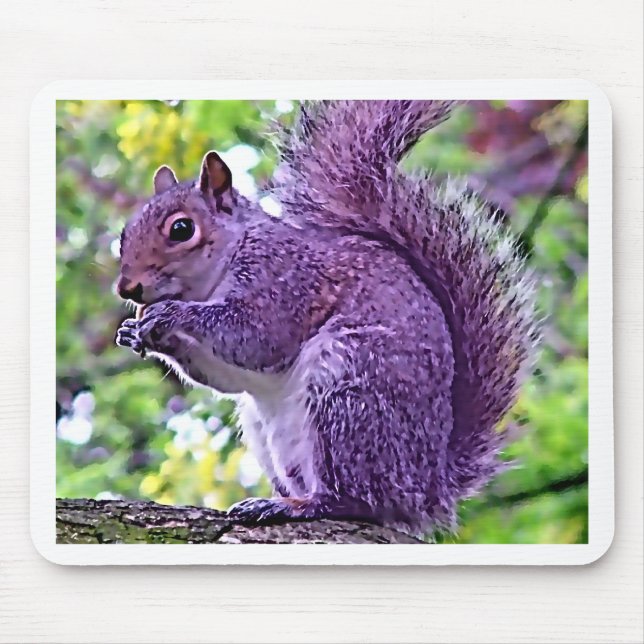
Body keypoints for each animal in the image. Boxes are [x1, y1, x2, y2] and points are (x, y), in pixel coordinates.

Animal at [115, 100, 539, 534]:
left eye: (182, 229)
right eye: (124, 235)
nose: (127, 289)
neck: (227, 259)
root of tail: (427, 490)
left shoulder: (283, 283)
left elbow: (255, 338)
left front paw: (171, 315)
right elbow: (229, 377)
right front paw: (135, 332)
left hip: (346, 391)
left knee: (354, 499)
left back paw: (295, 506)